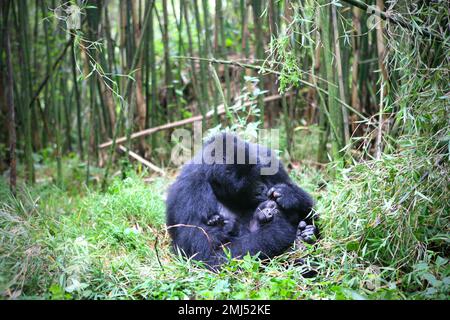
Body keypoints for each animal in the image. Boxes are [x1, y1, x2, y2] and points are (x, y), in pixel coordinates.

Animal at [165, 133, 316, 268]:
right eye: (248, 185)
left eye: (259, 175)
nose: (262, 189)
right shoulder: (189, 190)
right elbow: (207, 256)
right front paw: (281, 229)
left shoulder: (269, 161)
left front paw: (291, 195)